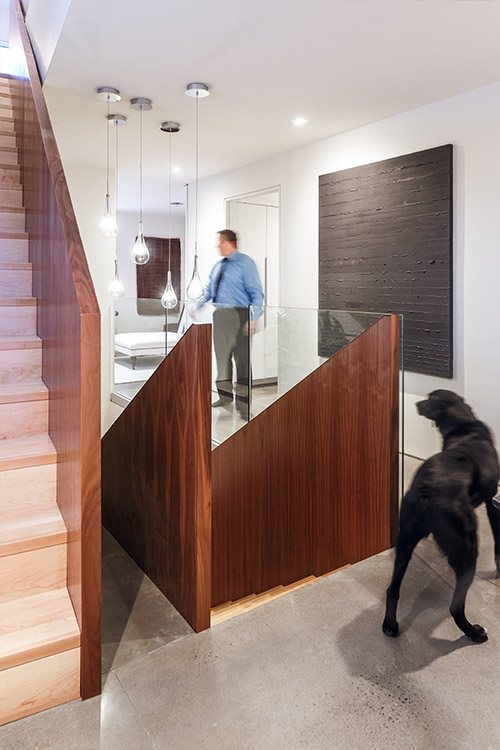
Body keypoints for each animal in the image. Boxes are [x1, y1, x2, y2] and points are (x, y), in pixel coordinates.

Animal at [384, 390, 498, 644]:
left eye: (430, 398)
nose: (416, 403)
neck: (465, 425)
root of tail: (429, 490)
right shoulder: (492, 501)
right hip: (468, 550)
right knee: (455, 608)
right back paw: (474, 632)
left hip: (404, 543)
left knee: (392, 590)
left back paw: (389, 625)